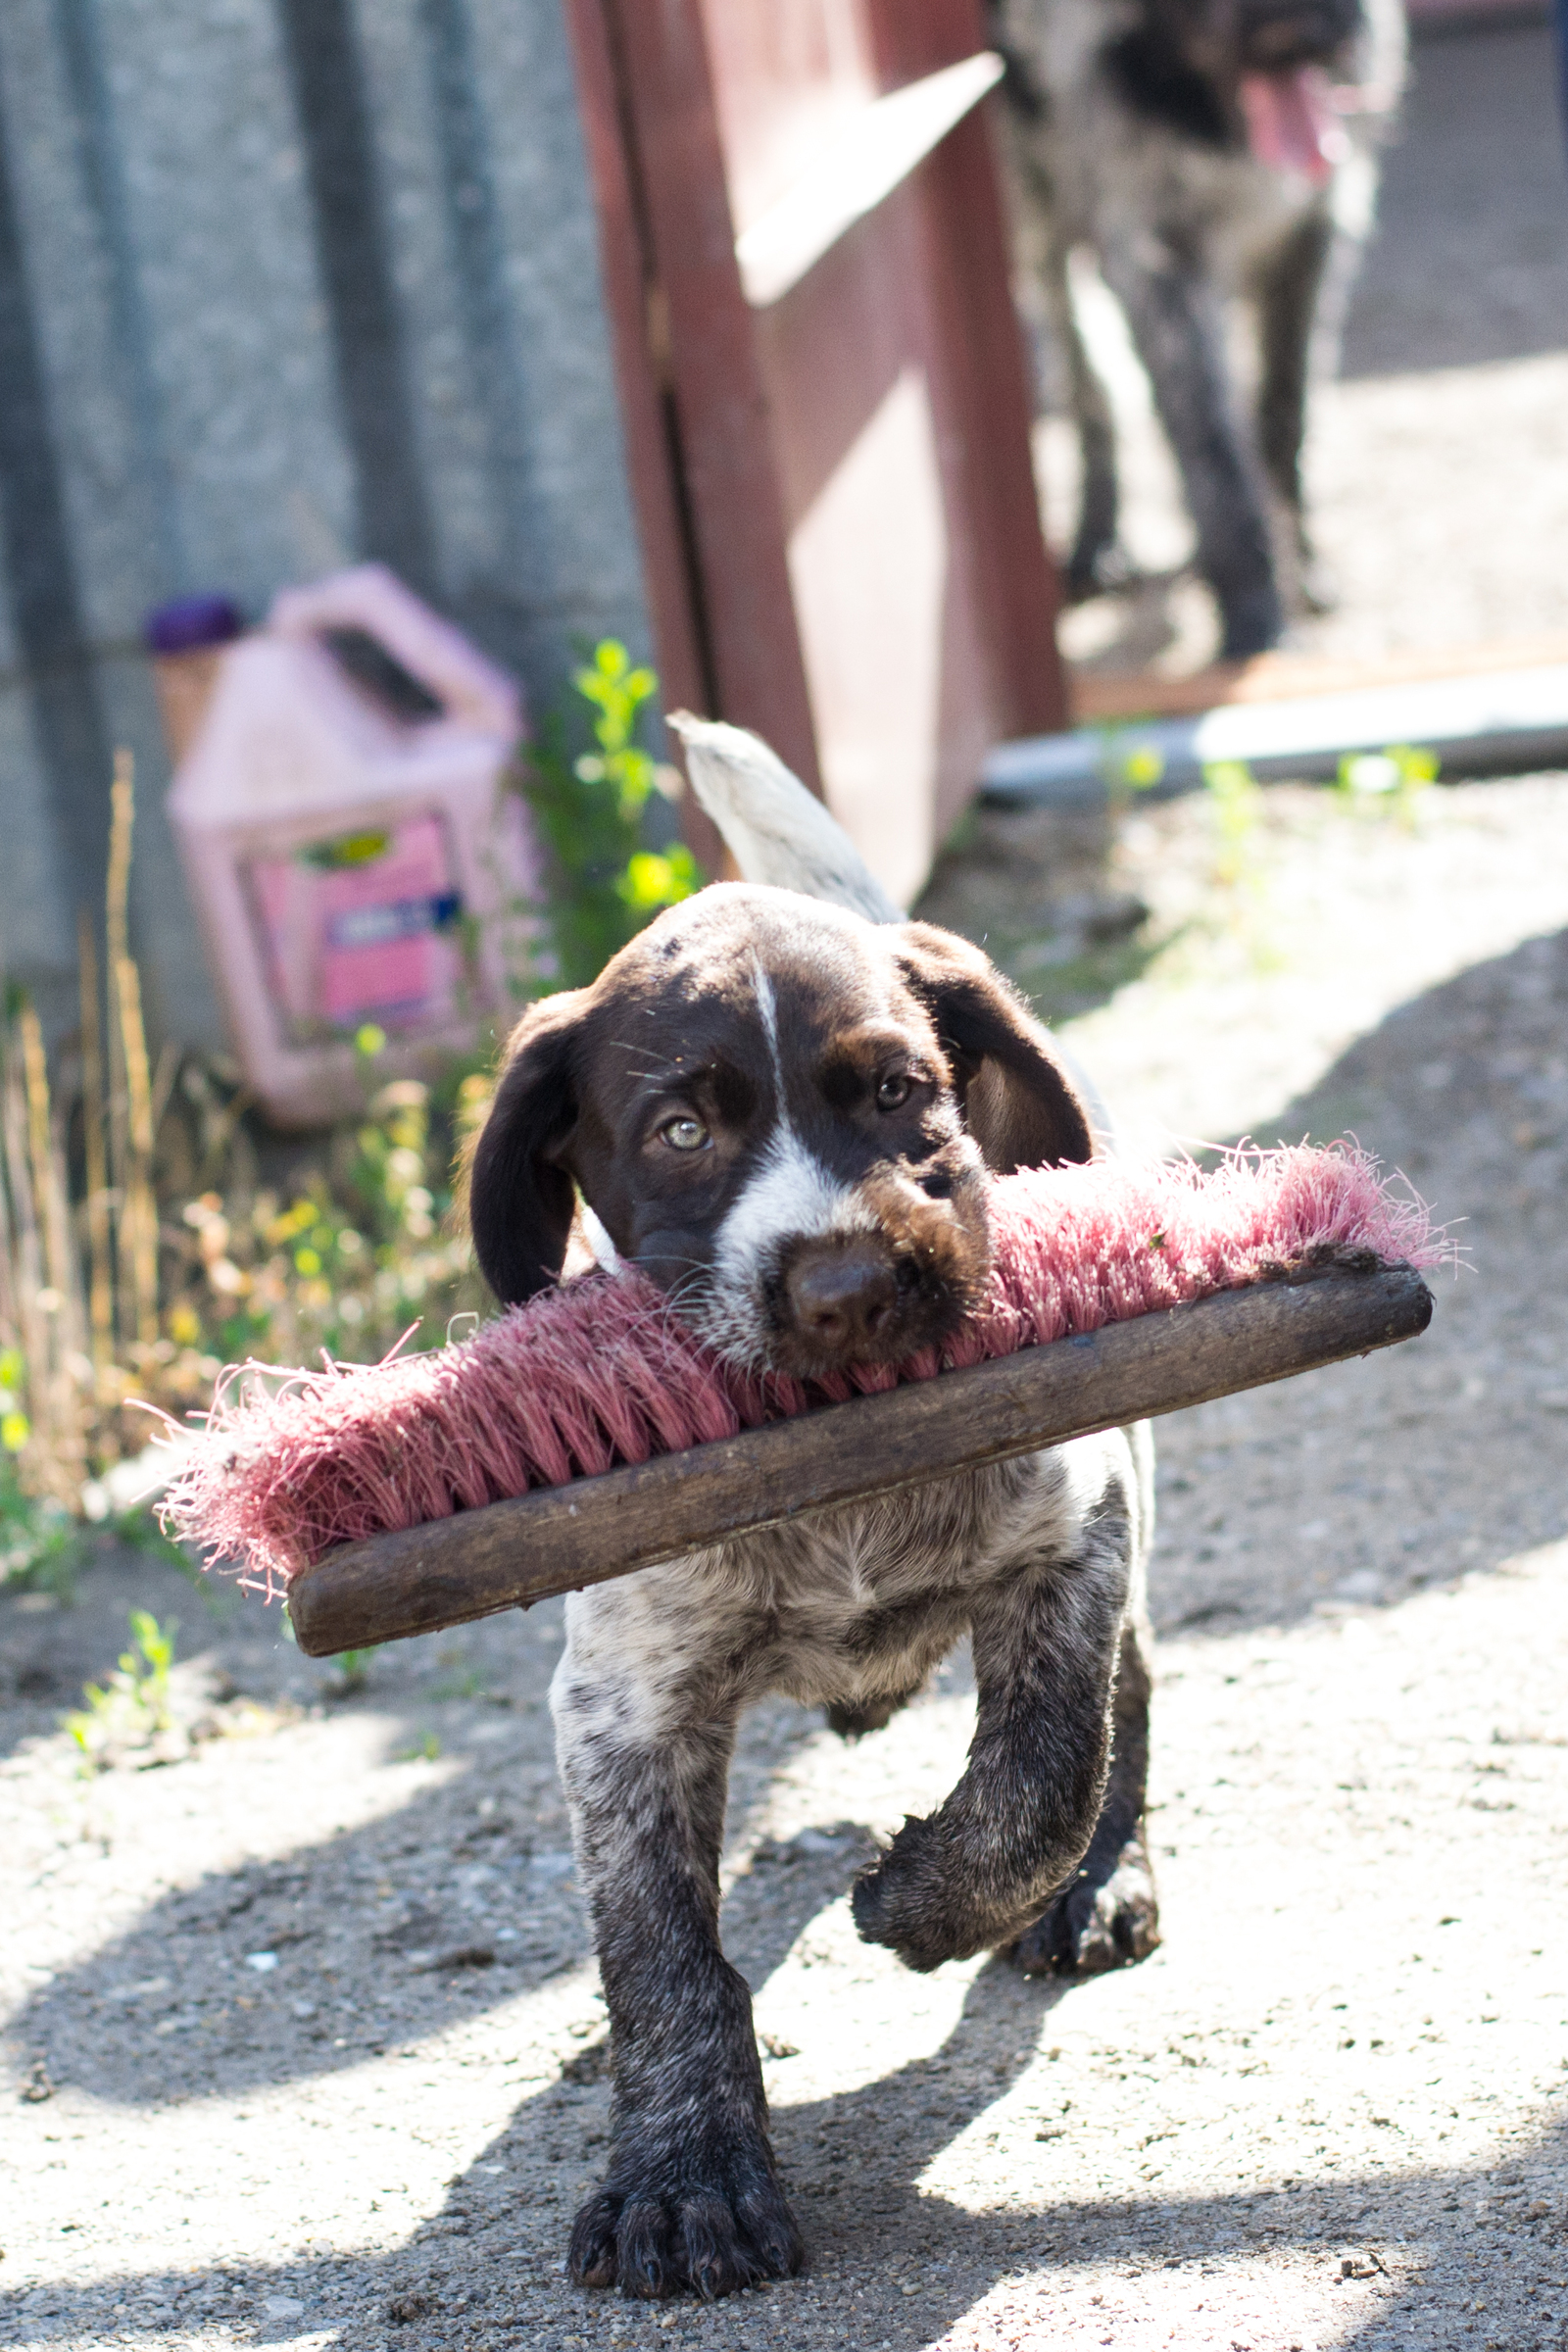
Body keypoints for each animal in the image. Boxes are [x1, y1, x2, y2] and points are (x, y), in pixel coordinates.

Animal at [463, 724, 1152, 2305]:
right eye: (678, 1130)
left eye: (899, 1094)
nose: (845, 1287)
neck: (840, 1471)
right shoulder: (624, 1704)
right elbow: (662, 1956)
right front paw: (686, 2175)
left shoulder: (1073, 1532)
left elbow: (1043, 1773)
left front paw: (927, 1900)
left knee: (1130, 1707)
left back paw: (1103, 1883)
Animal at [992, 0, 1410, 654]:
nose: (1303, 30)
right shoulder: (1157, 258)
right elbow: (1213, 452)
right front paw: (1258, 625)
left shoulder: (1313, 239)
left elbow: (1283, 419)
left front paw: (1301, 567)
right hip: (1038, 219)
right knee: (1087, 383)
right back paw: (1097, 540)